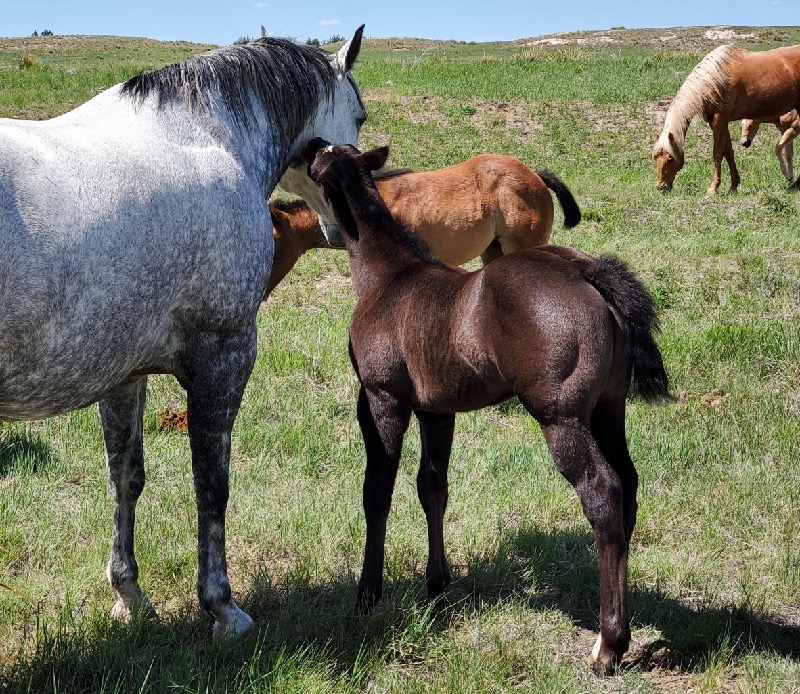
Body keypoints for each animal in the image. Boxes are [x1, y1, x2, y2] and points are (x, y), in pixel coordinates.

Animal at [0, 27, 366, 638]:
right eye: (359, 117)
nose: (344, 227)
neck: (208, 137)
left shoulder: (122, 373)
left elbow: (125, 477)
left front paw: (128, 594)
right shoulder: (224, 356)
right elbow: (211, 483)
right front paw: (222, 606)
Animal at [303, 140, 672, 674]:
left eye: (325, 155)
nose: (309, 147)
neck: (391, 276)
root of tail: (582, 269)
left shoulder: (381, 399)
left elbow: (378, 491)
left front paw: (368, 594)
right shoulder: (437, 410)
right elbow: (432, 488)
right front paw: (436, 586)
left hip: (561, 418)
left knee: (603, 492)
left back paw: (609, 645)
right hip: (608, 409)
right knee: (628, 486)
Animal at [652, 43, 800, 194]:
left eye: (670, 159)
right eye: (655, 157)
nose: (660, 187)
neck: (713, 80)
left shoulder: (720, 119)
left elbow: (717, 153)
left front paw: (713, 188)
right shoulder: (717, 122)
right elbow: (728, 152)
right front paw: (734, 185)